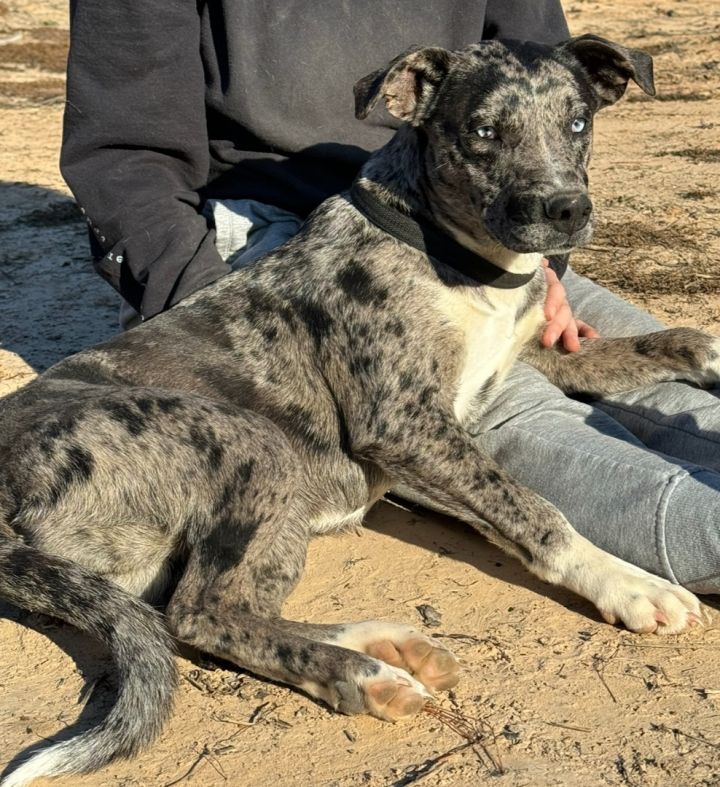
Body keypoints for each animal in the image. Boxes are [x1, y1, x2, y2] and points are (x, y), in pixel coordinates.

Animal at [1, 32, 720, 787]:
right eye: (483, 133)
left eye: (579, 123)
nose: (565, 210)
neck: (458, 255)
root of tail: (3, 469)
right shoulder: (404, 423)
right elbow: (536, 510)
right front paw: (628, 583)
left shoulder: (537, 351)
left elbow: (630, 349)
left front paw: (702, 347)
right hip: (253, 443)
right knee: (199, 615)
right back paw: (363, 673)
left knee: (217, 608)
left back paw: (383, 644)